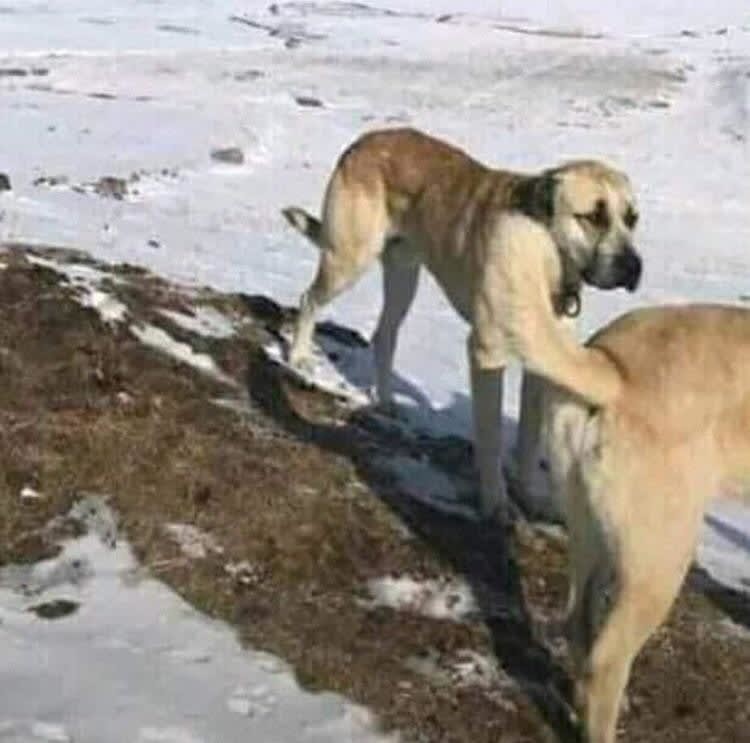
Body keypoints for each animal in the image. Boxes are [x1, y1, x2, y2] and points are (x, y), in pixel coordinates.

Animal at [282, 128, 640, 524]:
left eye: (632, 218)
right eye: (593, 216)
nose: (634, 267)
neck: (548, 256)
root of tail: (364, 140)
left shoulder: (543, 365)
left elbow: (529, 443)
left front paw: (530, 497)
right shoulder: (487, 353)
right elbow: (492, 438)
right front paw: (496, 503)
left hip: (403, 274)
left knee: (384, 334)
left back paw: (386, 401)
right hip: (348, 258)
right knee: (308, 300)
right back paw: (298, 358)